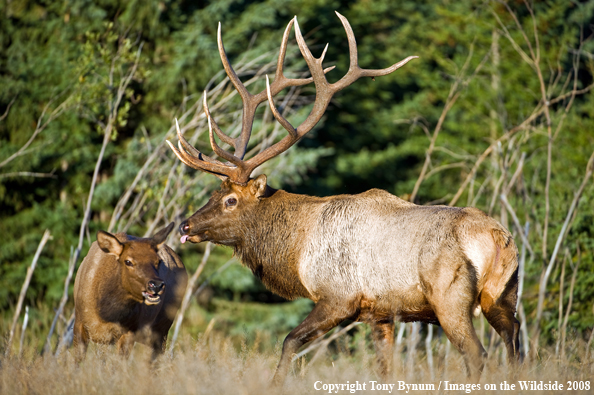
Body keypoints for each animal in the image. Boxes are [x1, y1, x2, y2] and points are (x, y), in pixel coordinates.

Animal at [73, 223, 187, 358]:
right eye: (128, 261)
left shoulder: (130, 330)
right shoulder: (79, 322)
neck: (105, 313)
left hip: (163, 326)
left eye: (158, 261)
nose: (156, 285)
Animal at [166, 13, 520, 386]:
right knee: (515, 347)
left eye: (231, 200)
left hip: (449, 297)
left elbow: (289, 341)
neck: (297, 249)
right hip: (503, 296)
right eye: (214, 193)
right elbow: (384, 368)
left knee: (477, 355)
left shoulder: (339, 296)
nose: (185, 225)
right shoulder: (382, 312)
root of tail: (498, 237)